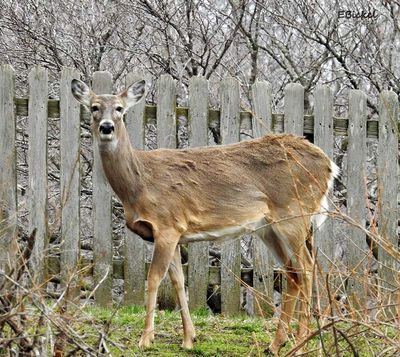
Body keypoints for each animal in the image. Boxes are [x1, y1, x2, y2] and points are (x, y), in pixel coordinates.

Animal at [71, 78, 338, 354]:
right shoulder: (175, 233)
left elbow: (154, 278)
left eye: (120, 109)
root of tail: (329, 164)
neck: (139, 181)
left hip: (295, 214)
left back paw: (302, 343)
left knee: (307, 268)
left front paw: (146, 338)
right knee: (292, 272)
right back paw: (276, 344)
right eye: (94, 107)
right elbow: (178, 281)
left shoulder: (166, 225)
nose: (107, 127)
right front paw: (189, 338)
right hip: (269, 227)